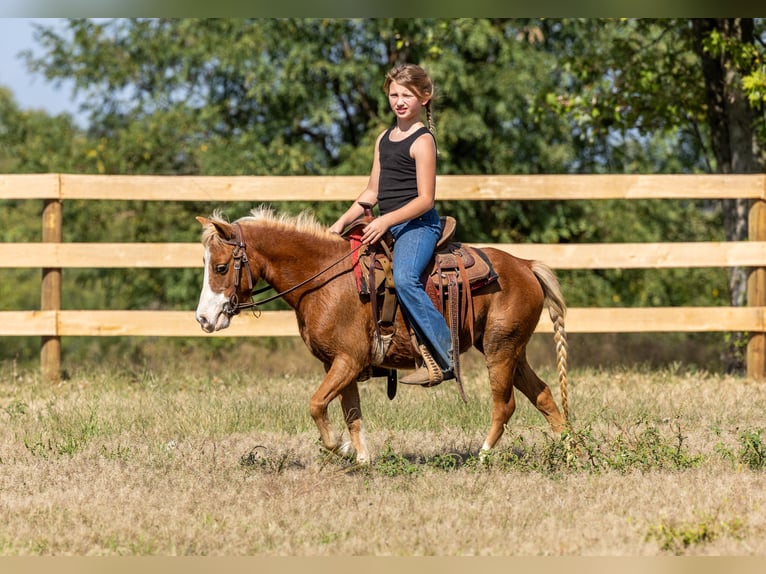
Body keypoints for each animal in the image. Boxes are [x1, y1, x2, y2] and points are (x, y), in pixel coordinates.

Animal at [195, 206, 569, 463]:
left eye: (221, 267)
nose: (204, 318)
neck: (324, 278)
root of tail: (525, 265)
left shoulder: (348, 359)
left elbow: (317, 404)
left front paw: (341, 448)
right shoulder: (338, 364)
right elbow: (351, 412)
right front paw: (361, 458)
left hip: (499, 351)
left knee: (505, 405)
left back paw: (484, 453)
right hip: (513, 351)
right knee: (544, 396)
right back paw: (568, 449)